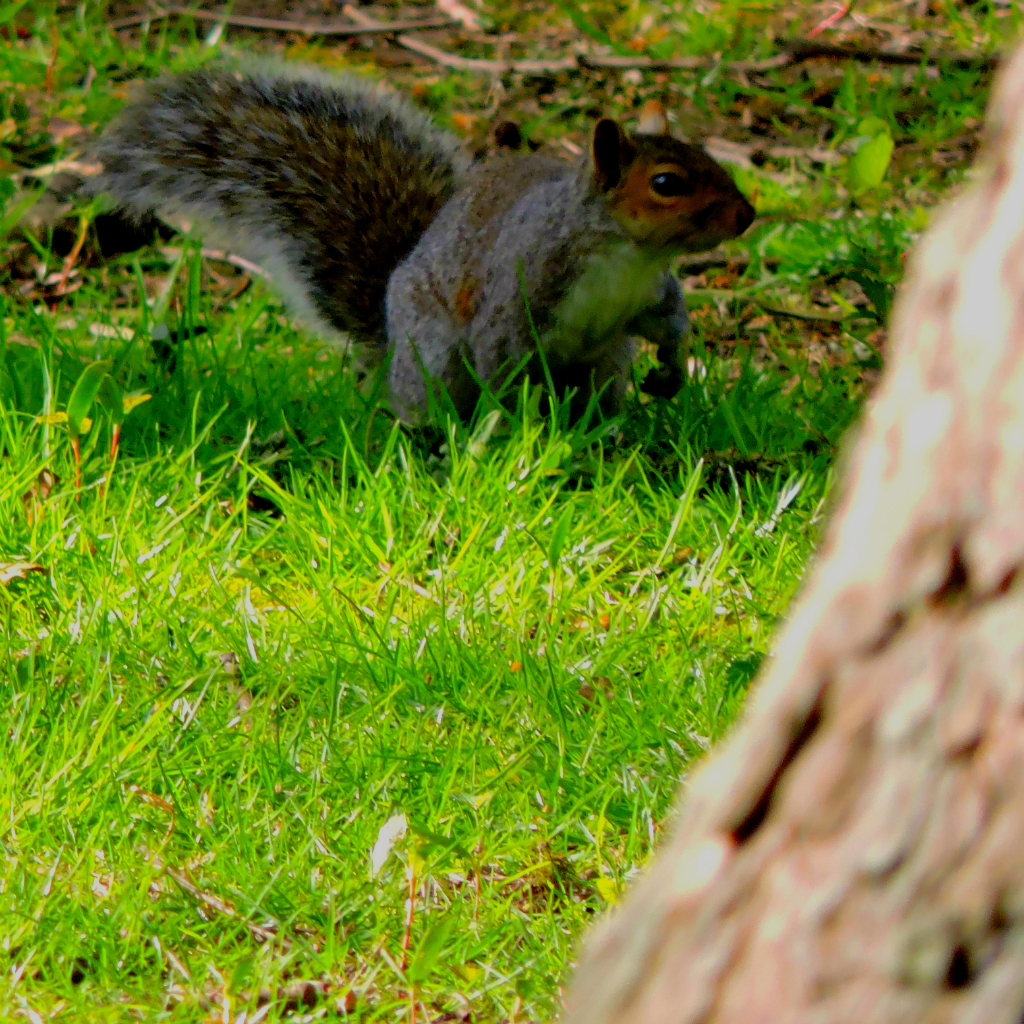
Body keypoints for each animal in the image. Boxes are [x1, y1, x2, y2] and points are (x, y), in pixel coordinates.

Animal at [87, 64, 754, 421]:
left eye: (709, 157)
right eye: (666, 184)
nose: (747, 216)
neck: (627, 255)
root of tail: (387, 344)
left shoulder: (648, 295)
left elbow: (670, 325)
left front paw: (672, 374)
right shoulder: (523, 288)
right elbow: (502, 354)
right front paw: (522, 423)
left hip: (606, 360)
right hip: (433, 352)